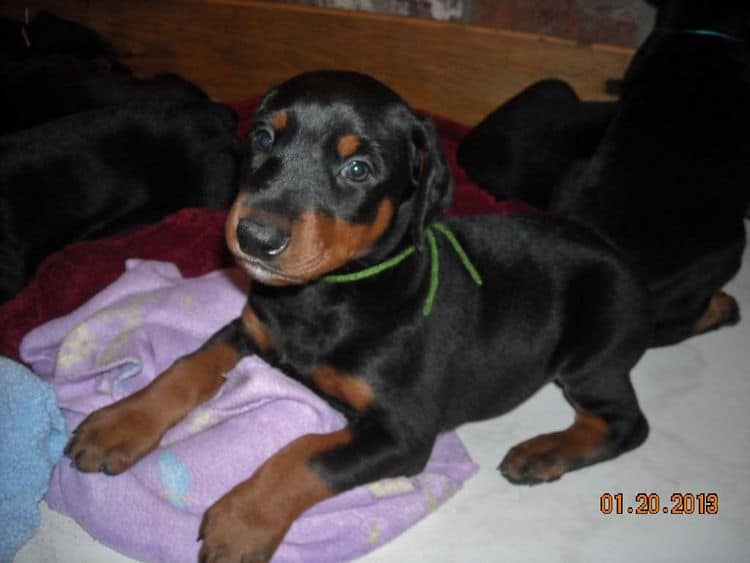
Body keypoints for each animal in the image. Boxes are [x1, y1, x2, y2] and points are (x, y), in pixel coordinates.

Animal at [64, 72, 652, 560]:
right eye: (264, 139)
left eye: (358, 169)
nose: (254, 235)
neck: (323, 295)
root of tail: (625, 261)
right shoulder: (251, 329)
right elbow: (188, 366)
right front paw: (119, 424)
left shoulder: (402, 432)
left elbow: (304, 453)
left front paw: (240, 522)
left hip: (590, 354)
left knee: (626, 423)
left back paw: (544, 452)